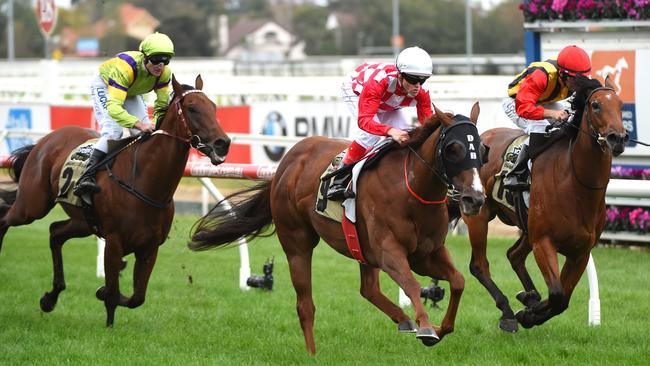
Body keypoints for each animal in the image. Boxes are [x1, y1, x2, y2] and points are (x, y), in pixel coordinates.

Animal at [0, 74, 230, 326]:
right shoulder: (113, 241)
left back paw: (50, 298)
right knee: (5, 220)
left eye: (214, 107)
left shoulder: (150, 247)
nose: (223, 143)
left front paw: (102, 292)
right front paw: (109, 323)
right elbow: (112, 293)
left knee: (55, 232)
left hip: (82, 222)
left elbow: (136, 297)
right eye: (192, 109)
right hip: (31, 206)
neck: (145, 180)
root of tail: (47, 139)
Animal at [190, 103, 484, 354]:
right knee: (305, 305)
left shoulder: (426, 254)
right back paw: (312, 354)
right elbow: (412, 284)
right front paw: (426, 327)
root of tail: (286, 162)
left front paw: (440, 327)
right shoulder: (390, 253)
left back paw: (403, 320)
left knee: (368, 289)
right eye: (453, 148)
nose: (475, 198)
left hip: (361, 248)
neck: (412, 189)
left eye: (481, 148)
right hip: (297, 242)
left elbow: (458, 281)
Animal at [456, 75, 628, 332]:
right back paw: (508, 312)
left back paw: (529, 296)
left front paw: (530, 307)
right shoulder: (543, 242)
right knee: (479, 265)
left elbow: (563, 299)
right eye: (596, 105)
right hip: (479, 216)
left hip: (527, 227)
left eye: (620, 104)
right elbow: (557, 294)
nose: (618, 138)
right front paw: (527, 313)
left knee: (514, 255)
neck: (576, 185)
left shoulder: (580, 252)